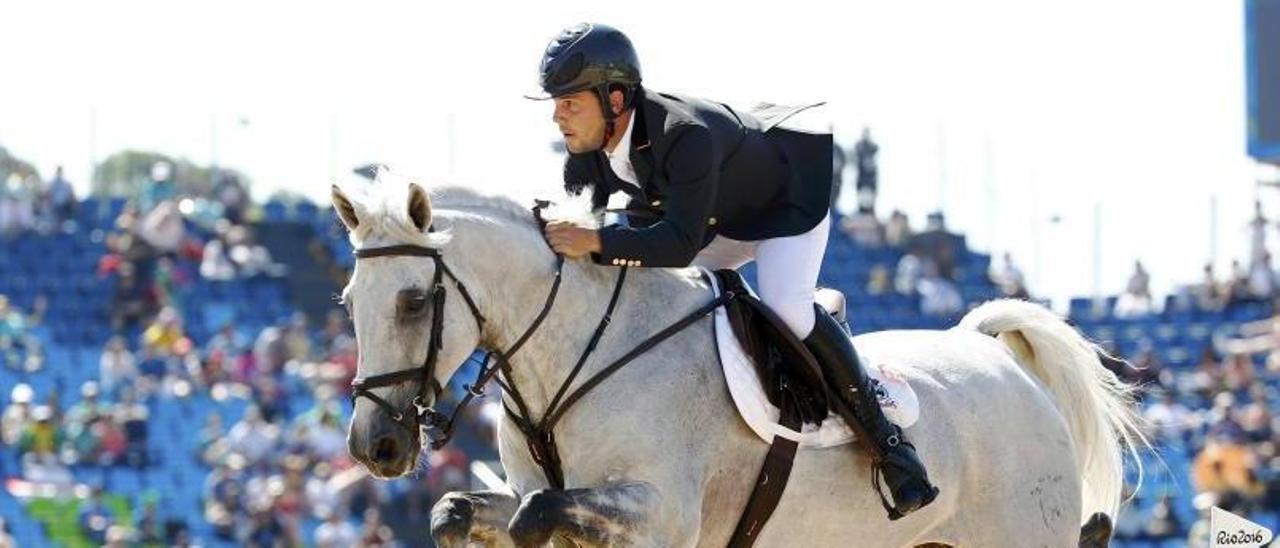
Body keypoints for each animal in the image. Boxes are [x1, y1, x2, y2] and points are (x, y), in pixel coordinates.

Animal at [335, 177, 1146, 545]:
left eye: (414, 300)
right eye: (347, 302)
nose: (377, 447)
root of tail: (992, 354)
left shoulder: (661, 514)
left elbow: (540, 515)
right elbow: (456, 509)